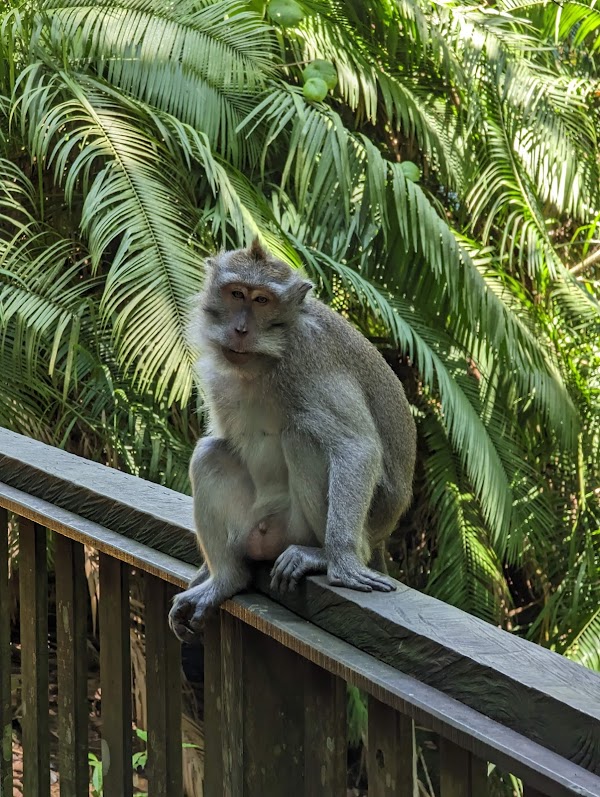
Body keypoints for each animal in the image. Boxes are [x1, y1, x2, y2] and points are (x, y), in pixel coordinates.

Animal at [168, 240, 417, 643]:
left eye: (262, 300)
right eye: (236, 294)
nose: (239, 329)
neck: (264, 360)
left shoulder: (312, 356)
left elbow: (355, 446)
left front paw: (342, 559)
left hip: (302, 527)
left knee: (301, 436)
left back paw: (322, 554)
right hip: (251, 527)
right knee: (211, 453)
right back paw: (226, 578)